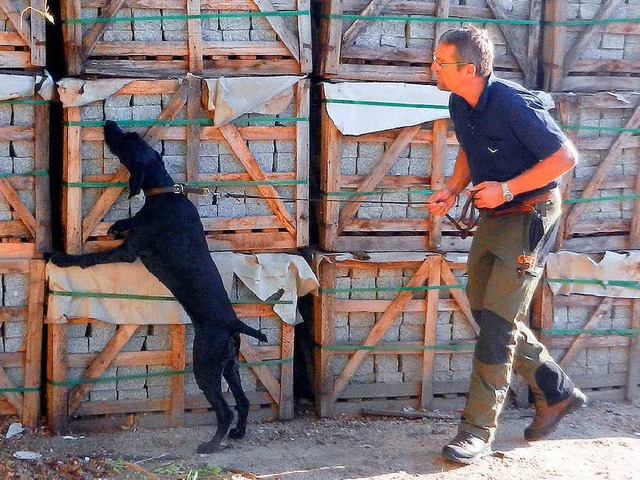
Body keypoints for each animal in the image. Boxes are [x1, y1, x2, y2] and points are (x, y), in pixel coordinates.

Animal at [51, 121, 268, 454]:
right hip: (229, 364)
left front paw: (63, 258)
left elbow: (92, 256)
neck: (165, 194)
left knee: (225, 409)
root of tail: (234, 323)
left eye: (127, 140)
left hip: (205, 364)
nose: (109, 123)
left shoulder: (128, 251)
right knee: (242, 402)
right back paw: (238, 433)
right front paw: (116, 224)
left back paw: (211, 444)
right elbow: (129, 220)